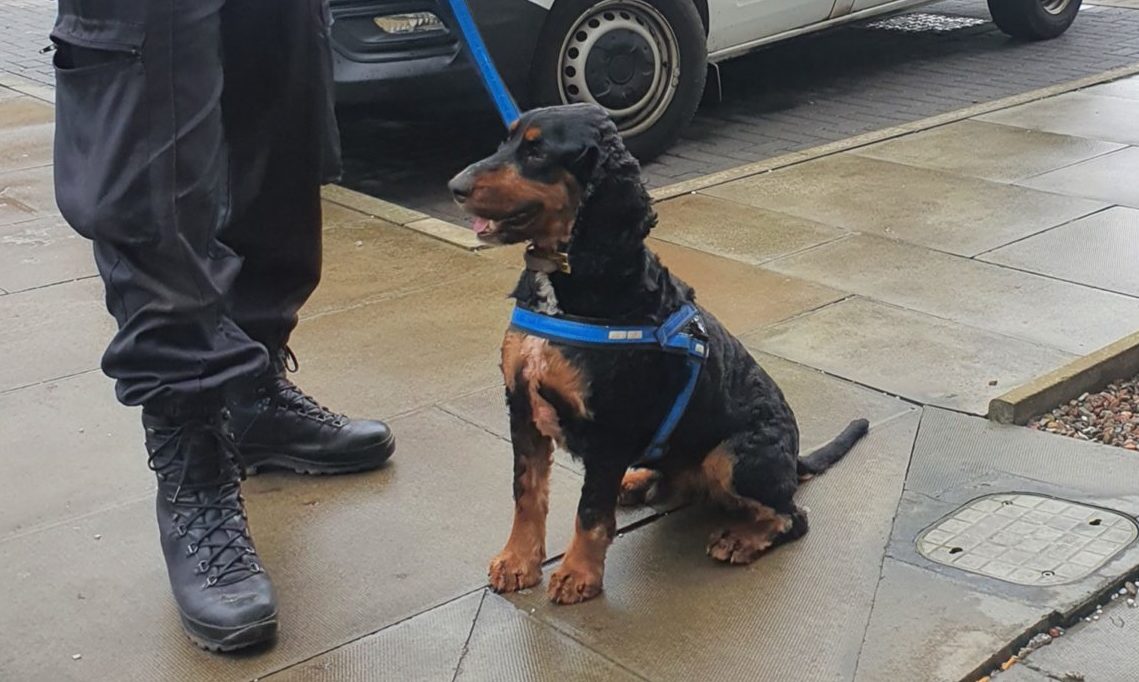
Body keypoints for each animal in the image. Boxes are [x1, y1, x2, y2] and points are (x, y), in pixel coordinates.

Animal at [448, 104, 865, 605]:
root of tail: (793, 459)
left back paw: (741, 539)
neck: (574, 281)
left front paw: (577, 574)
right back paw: (639, 480)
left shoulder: (610, 425)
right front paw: (518, 562)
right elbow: (526, 491)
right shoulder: (522, 406)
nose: (455, 187)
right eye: (505, 140)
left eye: (537, 151)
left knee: (791, 516)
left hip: (734, 457)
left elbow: (590, 512)